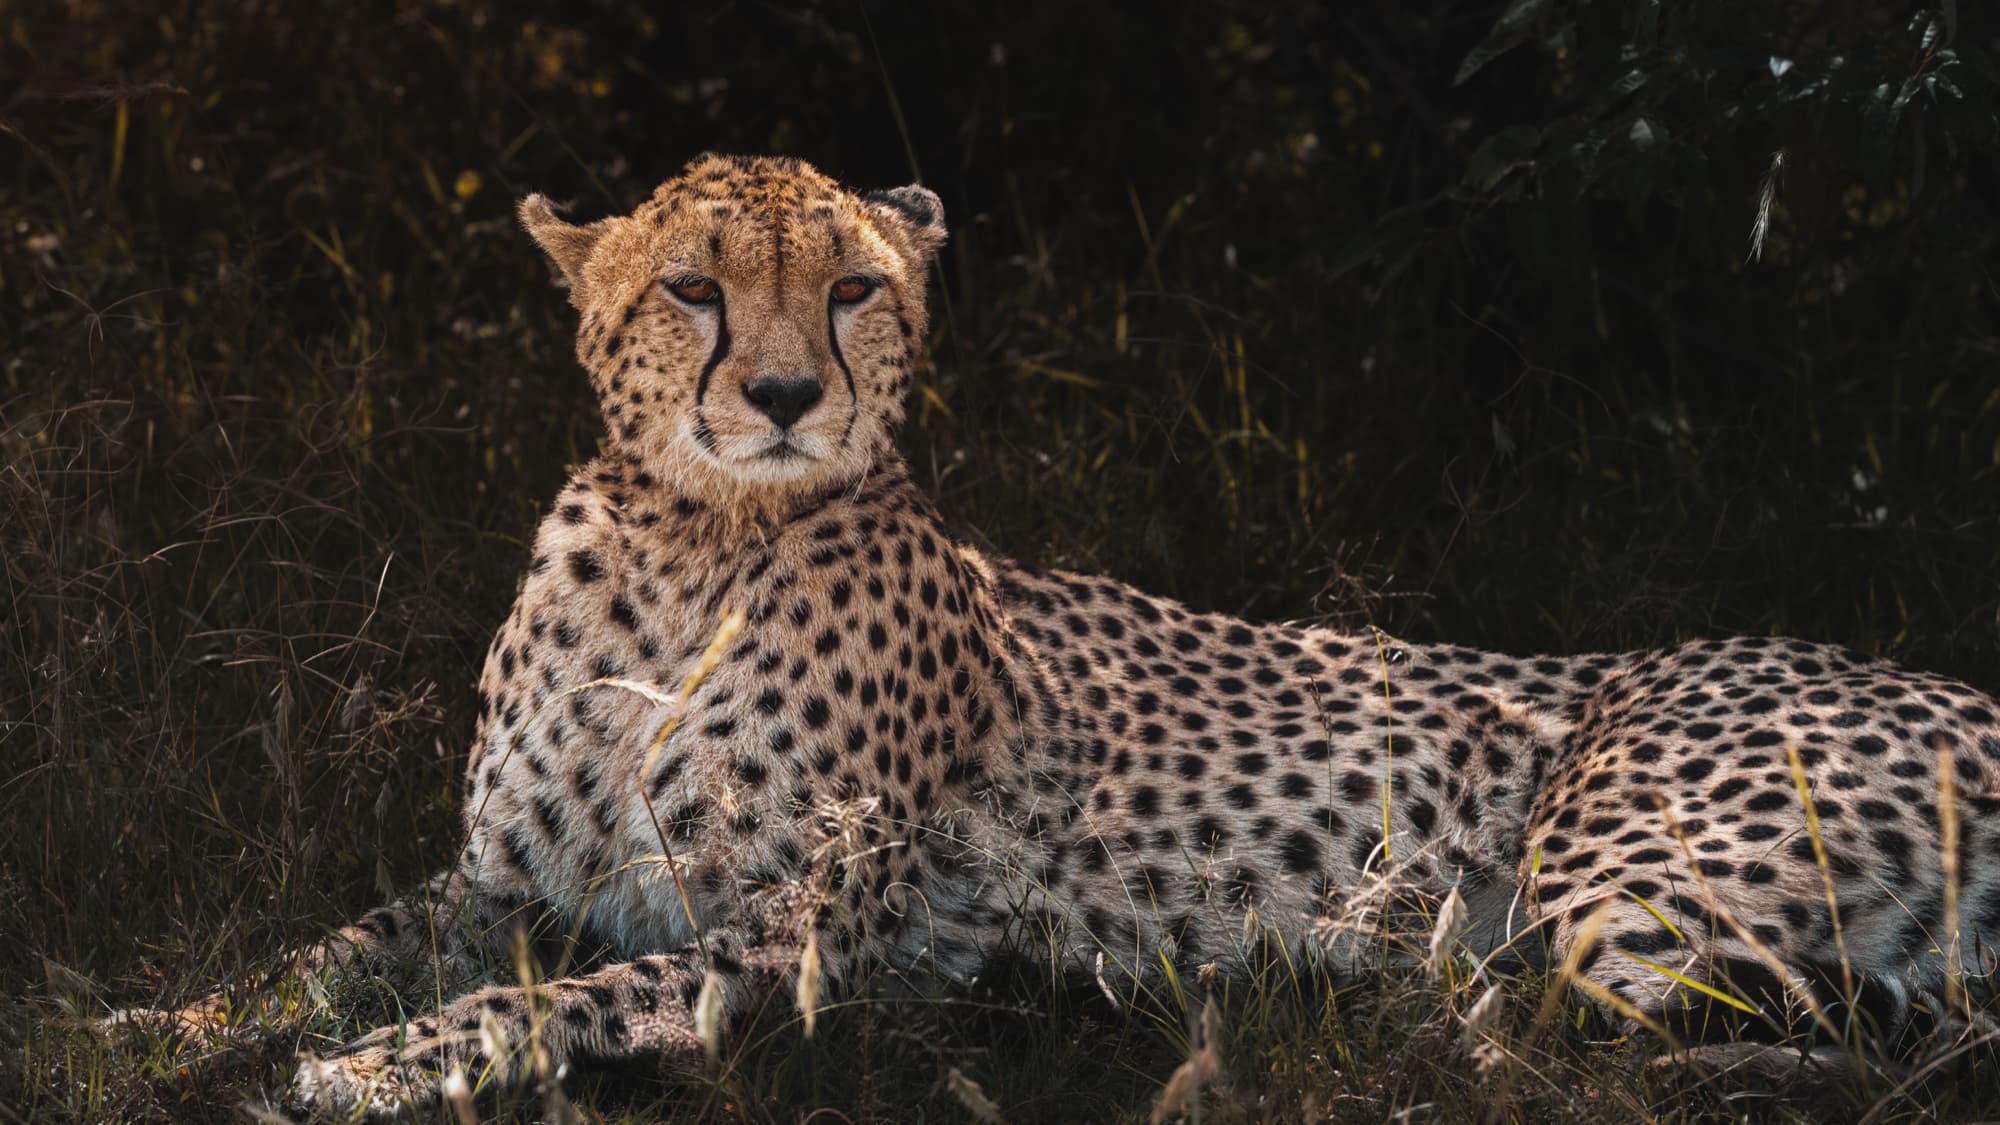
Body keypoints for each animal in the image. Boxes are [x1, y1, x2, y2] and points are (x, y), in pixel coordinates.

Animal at [122, 154, 2000, 1116]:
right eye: (694, 288)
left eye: (855, 288)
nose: (788, 397)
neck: (686, 540)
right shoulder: (502, 882)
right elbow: (313, 953)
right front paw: (151, 1029)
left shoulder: (831, 937)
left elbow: (588, 991)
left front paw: (369, 1070)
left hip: (1624, 889)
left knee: (1649, 1058)